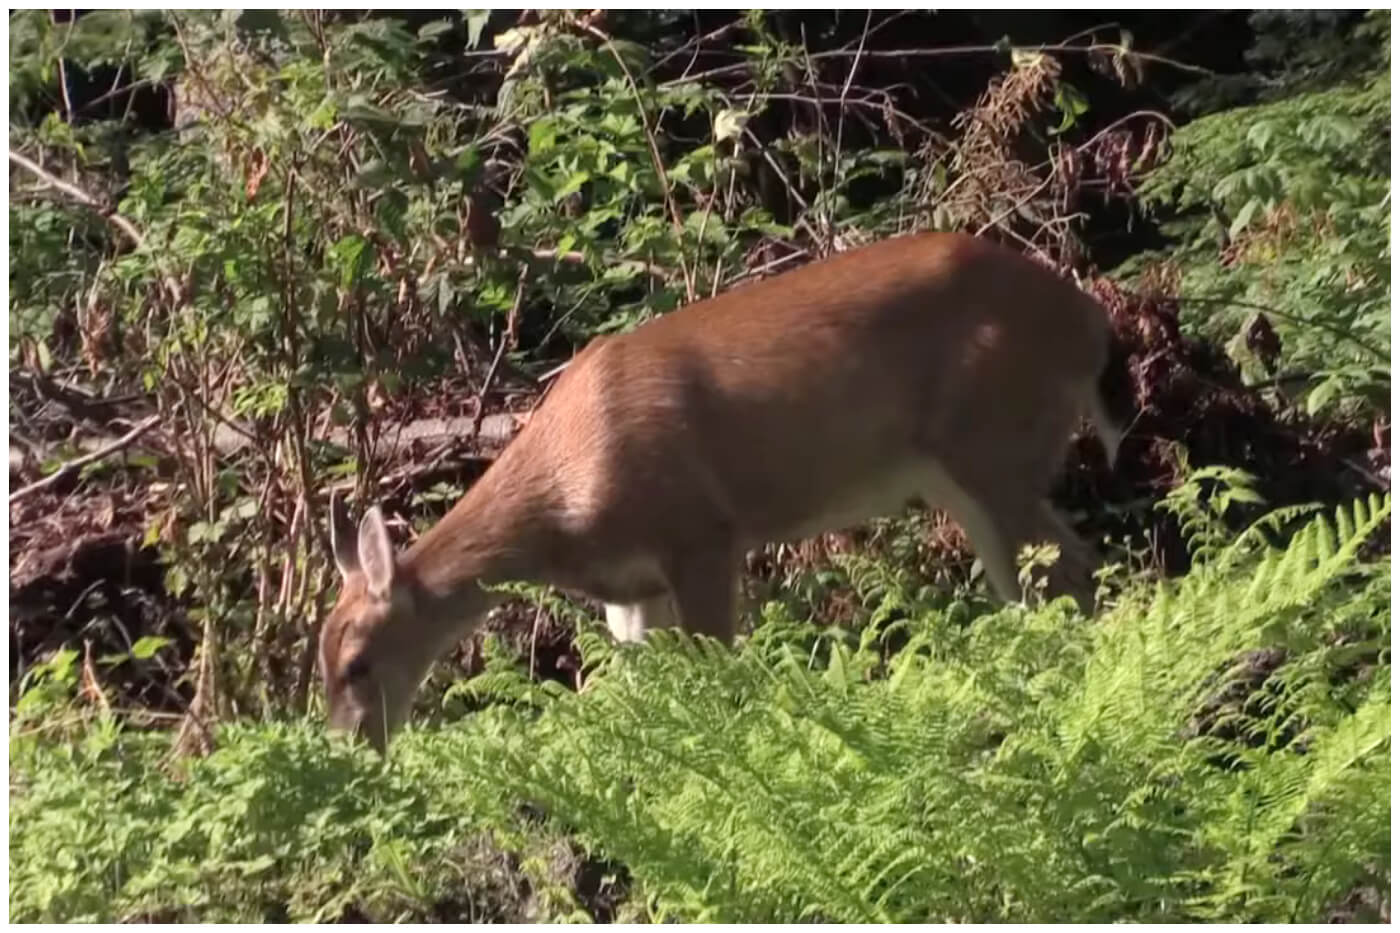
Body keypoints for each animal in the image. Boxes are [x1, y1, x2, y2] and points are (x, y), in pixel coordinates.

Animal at [322, 232, 1124, 751]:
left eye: (357, 663)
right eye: (320, 663)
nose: (348, 745)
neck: (562, 506)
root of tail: (1091, 324)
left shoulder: (700, 532)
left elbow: (718, 672)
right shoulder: (632, 587)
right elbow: (643, 689)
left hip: (992, 444)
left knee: (1071, 570)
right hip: (965, 471)